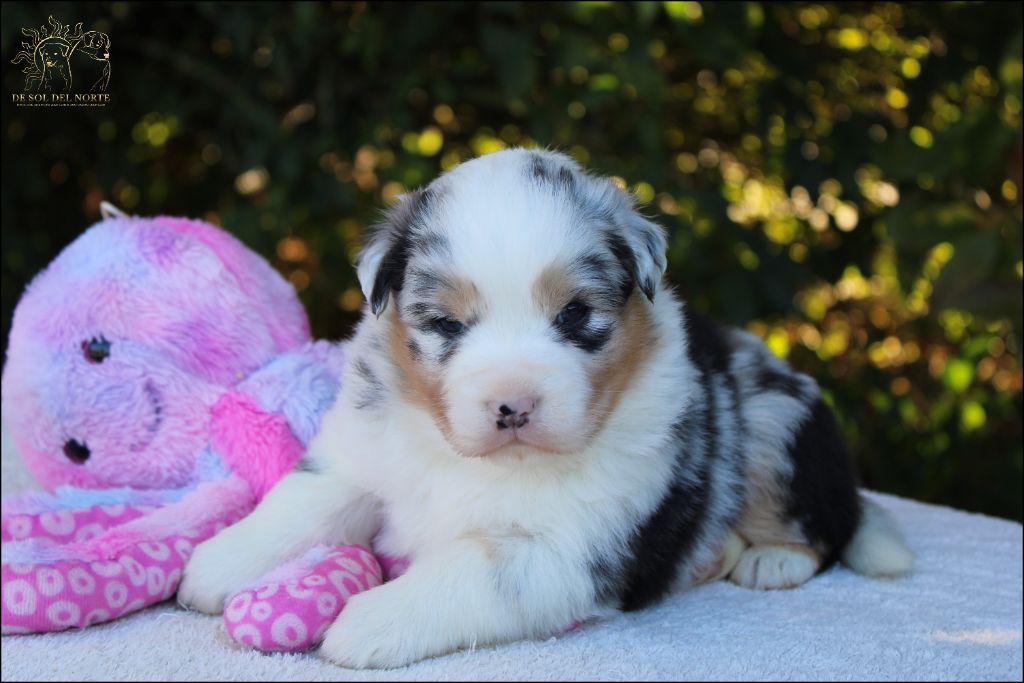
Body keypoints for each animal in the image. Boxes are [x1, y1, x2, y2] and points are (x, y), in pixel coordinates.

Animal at [180, 149, 917, 667]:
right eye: (445, 324)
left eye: (575, 315)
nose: (513, 403)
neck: (476, 460)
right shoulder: (360, 456)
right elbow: (301, 505)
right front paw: (214, 567)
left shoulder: (562, 550)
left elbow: (469, 572)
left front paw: (370, 620)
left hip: (772, 417)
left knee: (827, 523)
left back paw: (772, 559)